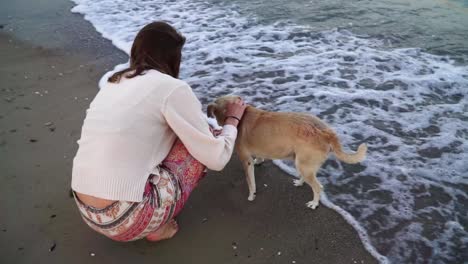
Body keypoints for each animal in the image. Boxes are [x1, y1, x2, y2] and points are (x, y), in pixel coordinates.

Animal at [207, 95, 368, 208]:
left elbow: (250, 181)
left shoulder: (245, 160)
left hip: (303, 164)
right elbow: (259, 157)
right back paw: (300, 182)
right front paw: (259, 161)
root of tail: (326, 132)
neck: (242, 115)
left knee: (318, 187)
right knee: (307, 177)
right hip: (302, 163)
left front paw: (251, 195)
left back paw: (314, 203)